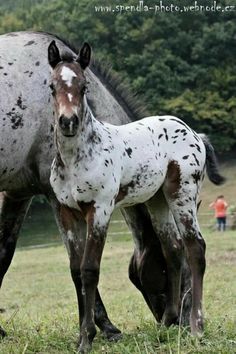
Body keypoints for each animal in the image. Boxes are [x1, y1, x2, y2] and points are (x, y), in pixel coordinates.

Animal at [0, 31, 170, 338]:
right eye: (164, 266)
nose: (172, 320)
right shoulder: (59, 200)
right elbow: (77, 266)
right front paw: (104, 326)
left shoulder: (16, 193)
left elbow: (3, 255)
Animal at [48, 40, 225, 352]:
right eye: (52, 86)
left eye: (84, 87)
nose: (68, 122)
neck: (77, 158)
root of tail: (195, 133)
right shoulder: (67, 212)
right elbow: (75, 271)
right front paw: (83, 336)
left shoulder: (99, 211)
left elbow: (89, 270)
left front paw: (88, 338)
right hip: (157, 201)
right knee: (173, 248)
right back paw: (168, 321)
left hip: (183, 195)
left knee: (195, 248)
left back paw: (196, 326)